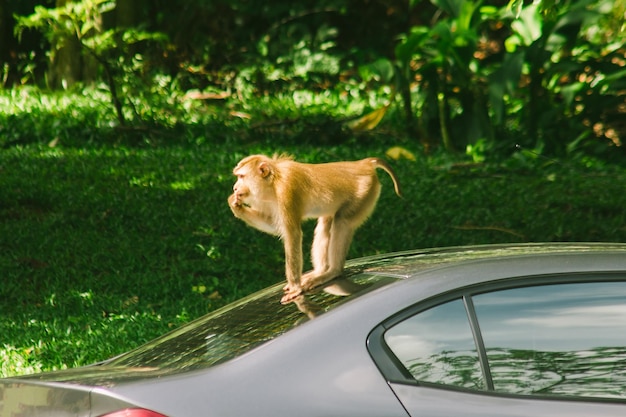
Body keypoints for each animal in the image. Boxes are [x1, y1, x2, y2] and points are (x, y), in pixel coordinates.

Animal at [228, 154, 400, 300]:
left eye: (241, 176)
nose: (235, 188)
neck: (273, 182)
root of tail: (363, 164)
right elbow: (274, 226)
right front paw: (235, 204)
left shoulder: (286, 193)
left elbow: (292, 234)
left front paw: (295, 287)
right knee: (325, 223)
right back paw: (320, 271)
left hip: (364, 192)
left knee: (342, 222)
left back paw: (332, 272)